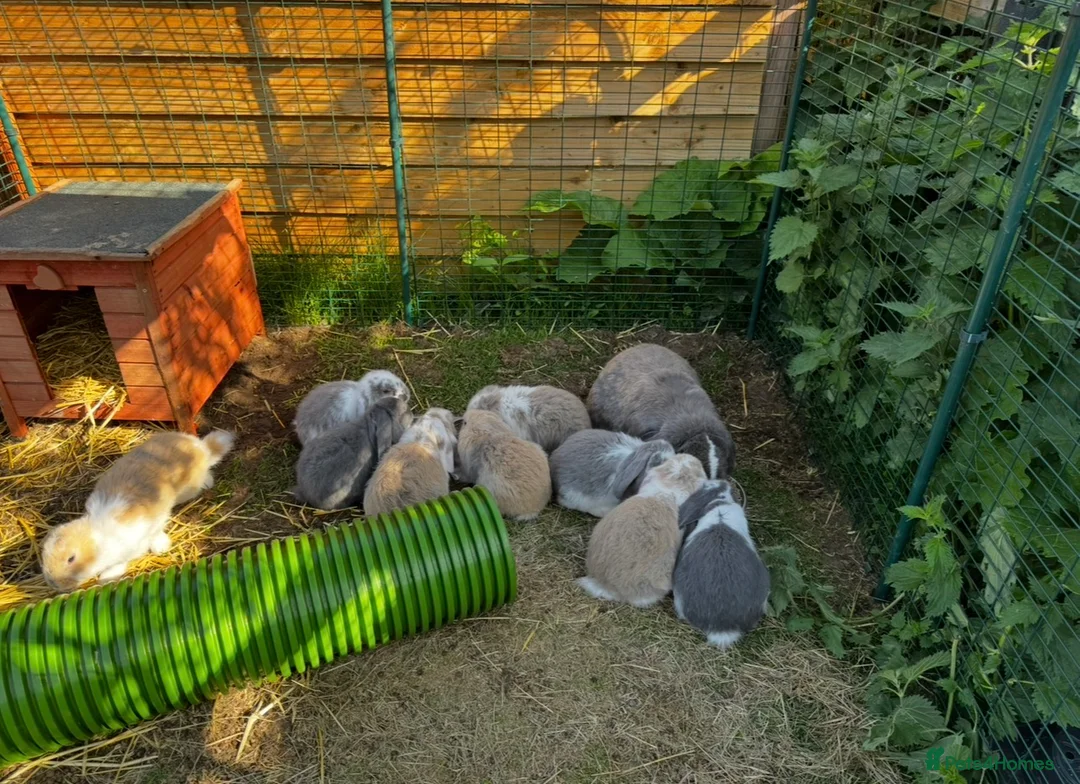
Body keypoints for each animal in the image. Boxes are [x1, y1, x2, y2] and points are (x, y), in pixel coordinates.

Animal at [41, 430, 235, 592]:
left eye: (71, 558)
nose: (56, 584)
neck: (98, 541)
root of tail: (200, 447)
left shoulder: (133, 546)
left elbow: (121, 562)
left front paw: (106, 578)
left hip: (189, 488)